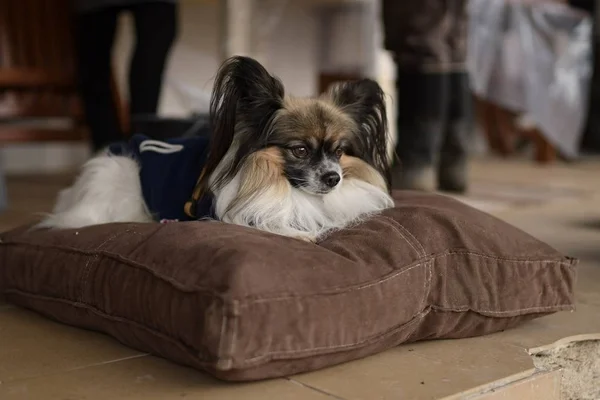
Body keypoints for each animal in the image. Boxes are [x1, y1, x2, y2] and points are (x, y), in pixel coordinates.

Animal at [38, 55, 394, 241]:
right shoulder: (234, 214)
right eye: (300, 150)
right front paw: (299, 235)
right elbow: (270, 223)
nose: (334, 178)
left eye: (339, 152)